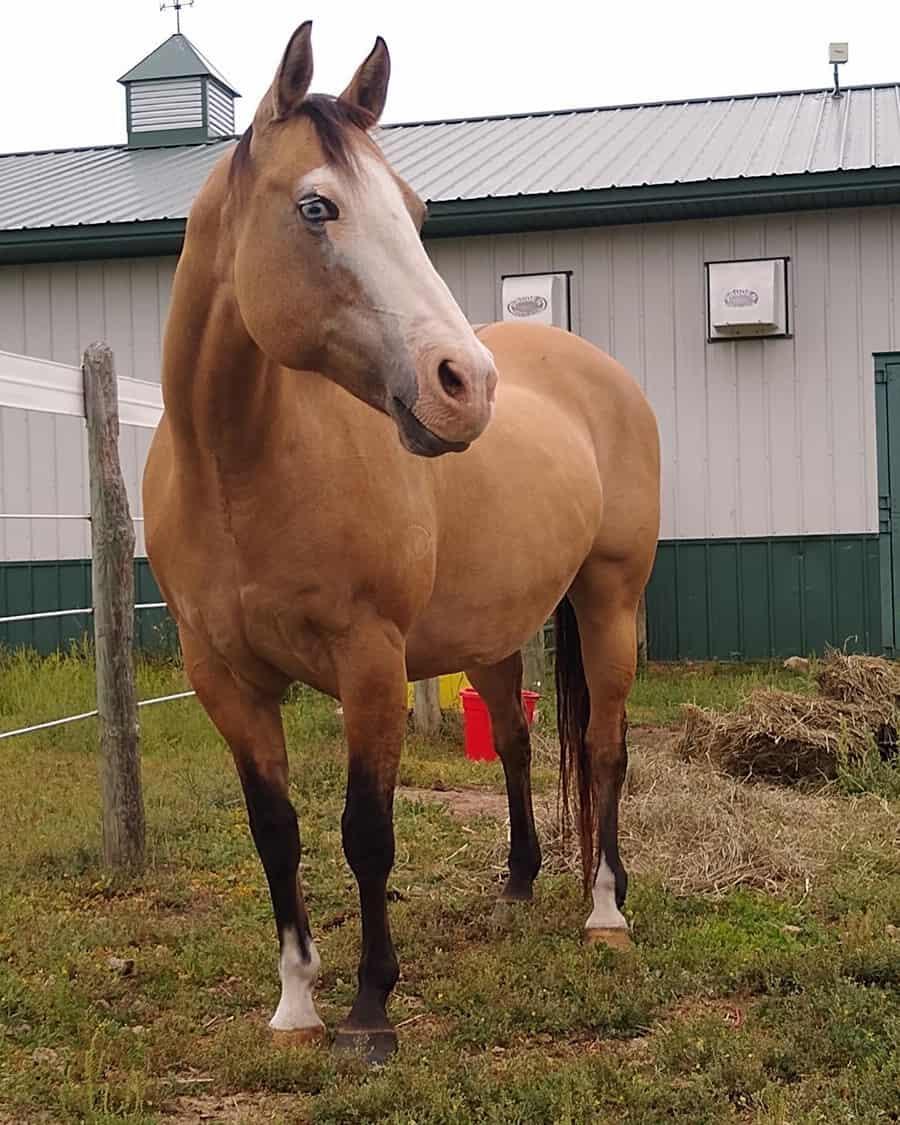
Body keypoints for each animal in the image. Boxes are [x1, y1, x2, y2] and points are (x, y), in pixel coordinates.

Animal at [142, 20, 660, 1064]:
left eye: (416, 211)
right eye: (316, 206)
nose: (465, 384)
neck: (235, 467)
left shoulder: (371, 661)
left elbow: (366, 831)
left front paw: (370, 1008)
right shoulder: (224, 677)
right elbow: (276, 829)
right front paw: (296, 1002)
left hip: (609, 602)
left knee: (606, 748)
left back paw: (604, 909)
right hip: (496, 633)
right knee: (517, 741)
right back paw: (518, 883)